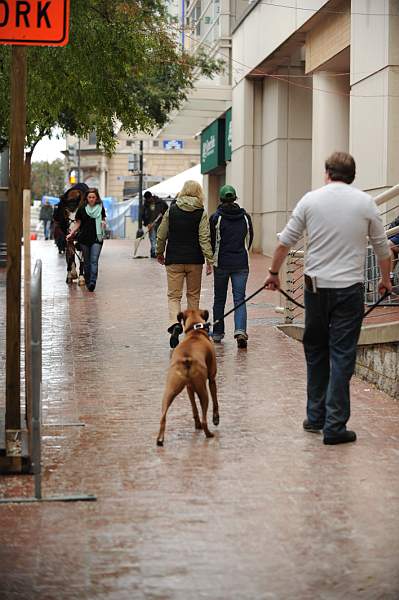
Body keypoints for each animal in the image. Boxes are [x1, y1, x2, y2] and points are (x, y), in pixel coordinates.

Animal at [156, 310, 219, 446]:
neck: (195, 331)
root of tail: (187, 358)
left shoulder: (189, 388)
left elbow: (194, 408)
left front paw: (196, 424)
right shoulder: (212, 379)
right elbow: (215, 402)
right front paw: (216, 418)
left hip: (169, 391)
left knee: (163, 417)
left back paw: (159, 440)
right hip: (203, 392)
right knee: (205, 419)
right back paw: (209, 434)